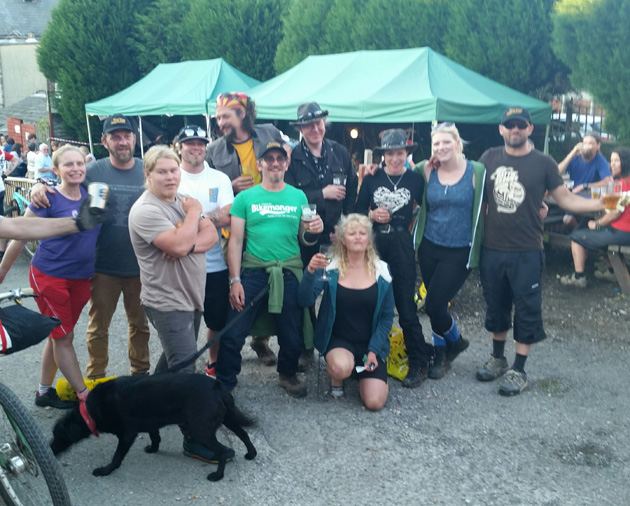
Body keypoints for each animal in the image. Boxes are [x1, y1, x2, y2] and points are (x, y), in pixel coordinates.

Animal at [49, 374, 256, 480]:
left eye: (59, 436)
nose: (49, 449)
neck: (89, 411)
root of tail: (217, 386)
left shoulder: (127, 435)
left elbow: (117, 457)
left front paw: (106, 470)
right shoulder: (150, 423)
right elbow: (155, 436)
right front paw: (153, 448)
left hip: (200, 429)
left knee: (221, 451)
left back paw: (218, 475)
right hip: (227, 417)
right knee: (244, 434)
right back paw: (251, 454)